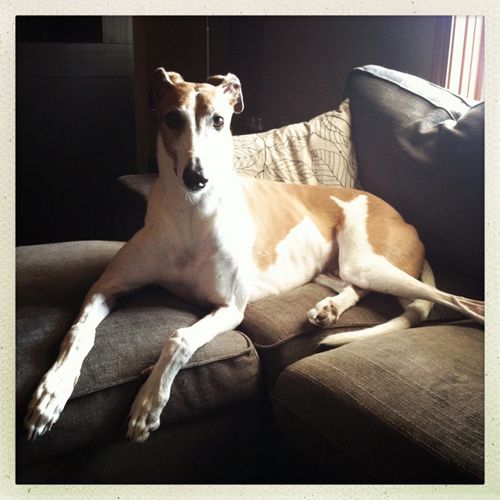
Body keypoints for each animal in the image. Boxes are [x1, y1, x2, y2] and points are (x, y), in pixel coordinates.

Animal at [24, 69, 484, 442]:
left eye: (219, 121)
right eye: (172, 118)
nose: (197, 177)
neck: (189, 213)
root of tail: (406, 220)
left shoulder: (230, 308)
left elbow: (178, 339)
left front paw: (147, 404)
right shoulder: (107, 287)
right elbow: (79, 331)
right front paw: (51, 394)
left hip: (371, 261)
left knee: (458, 300)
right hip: (343, 268)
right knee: (357, 289)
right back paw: (328, 310)